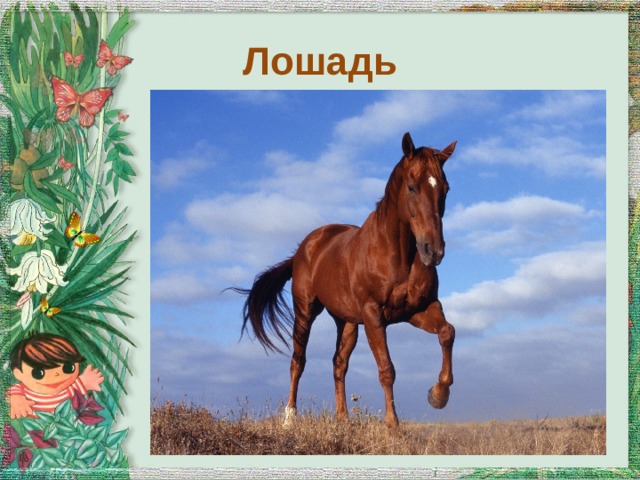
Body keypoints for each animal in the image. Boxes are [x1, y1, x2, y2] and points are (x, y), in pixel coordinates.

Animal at [234, 132, 456, 429]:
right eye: (411, 187)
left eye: (445, 188)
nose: (434, 250)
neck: (397, 254)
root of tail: (304, 248)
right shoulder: (374, 314)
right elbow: (387, 369)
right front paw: (392, 426)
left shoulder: (419, 309)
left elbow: (447, 332)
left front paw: (438, 395)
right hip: (305, 311)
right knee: (298, 361)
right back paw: (290, 418)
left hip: (347, 322)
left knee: (338, 364)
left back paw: (342, 419)